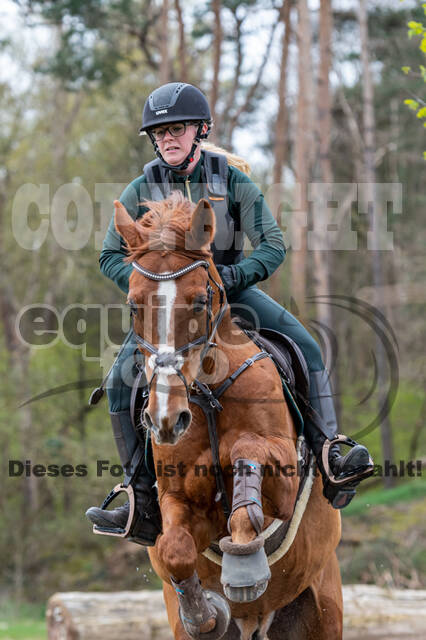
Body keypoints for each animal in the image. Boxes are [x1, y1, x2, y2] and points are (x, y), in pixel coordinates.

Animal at [114, 194, 342, 640]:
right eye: (133, 306)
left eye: (200, 300)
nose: (166, 420)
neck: (208, 397)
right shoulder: (178, 499)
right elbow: (174, 548)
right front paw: (204, 614)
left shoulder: (284, 476)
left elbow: (247, 453)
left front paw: (244, 564)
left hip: (325, 609)